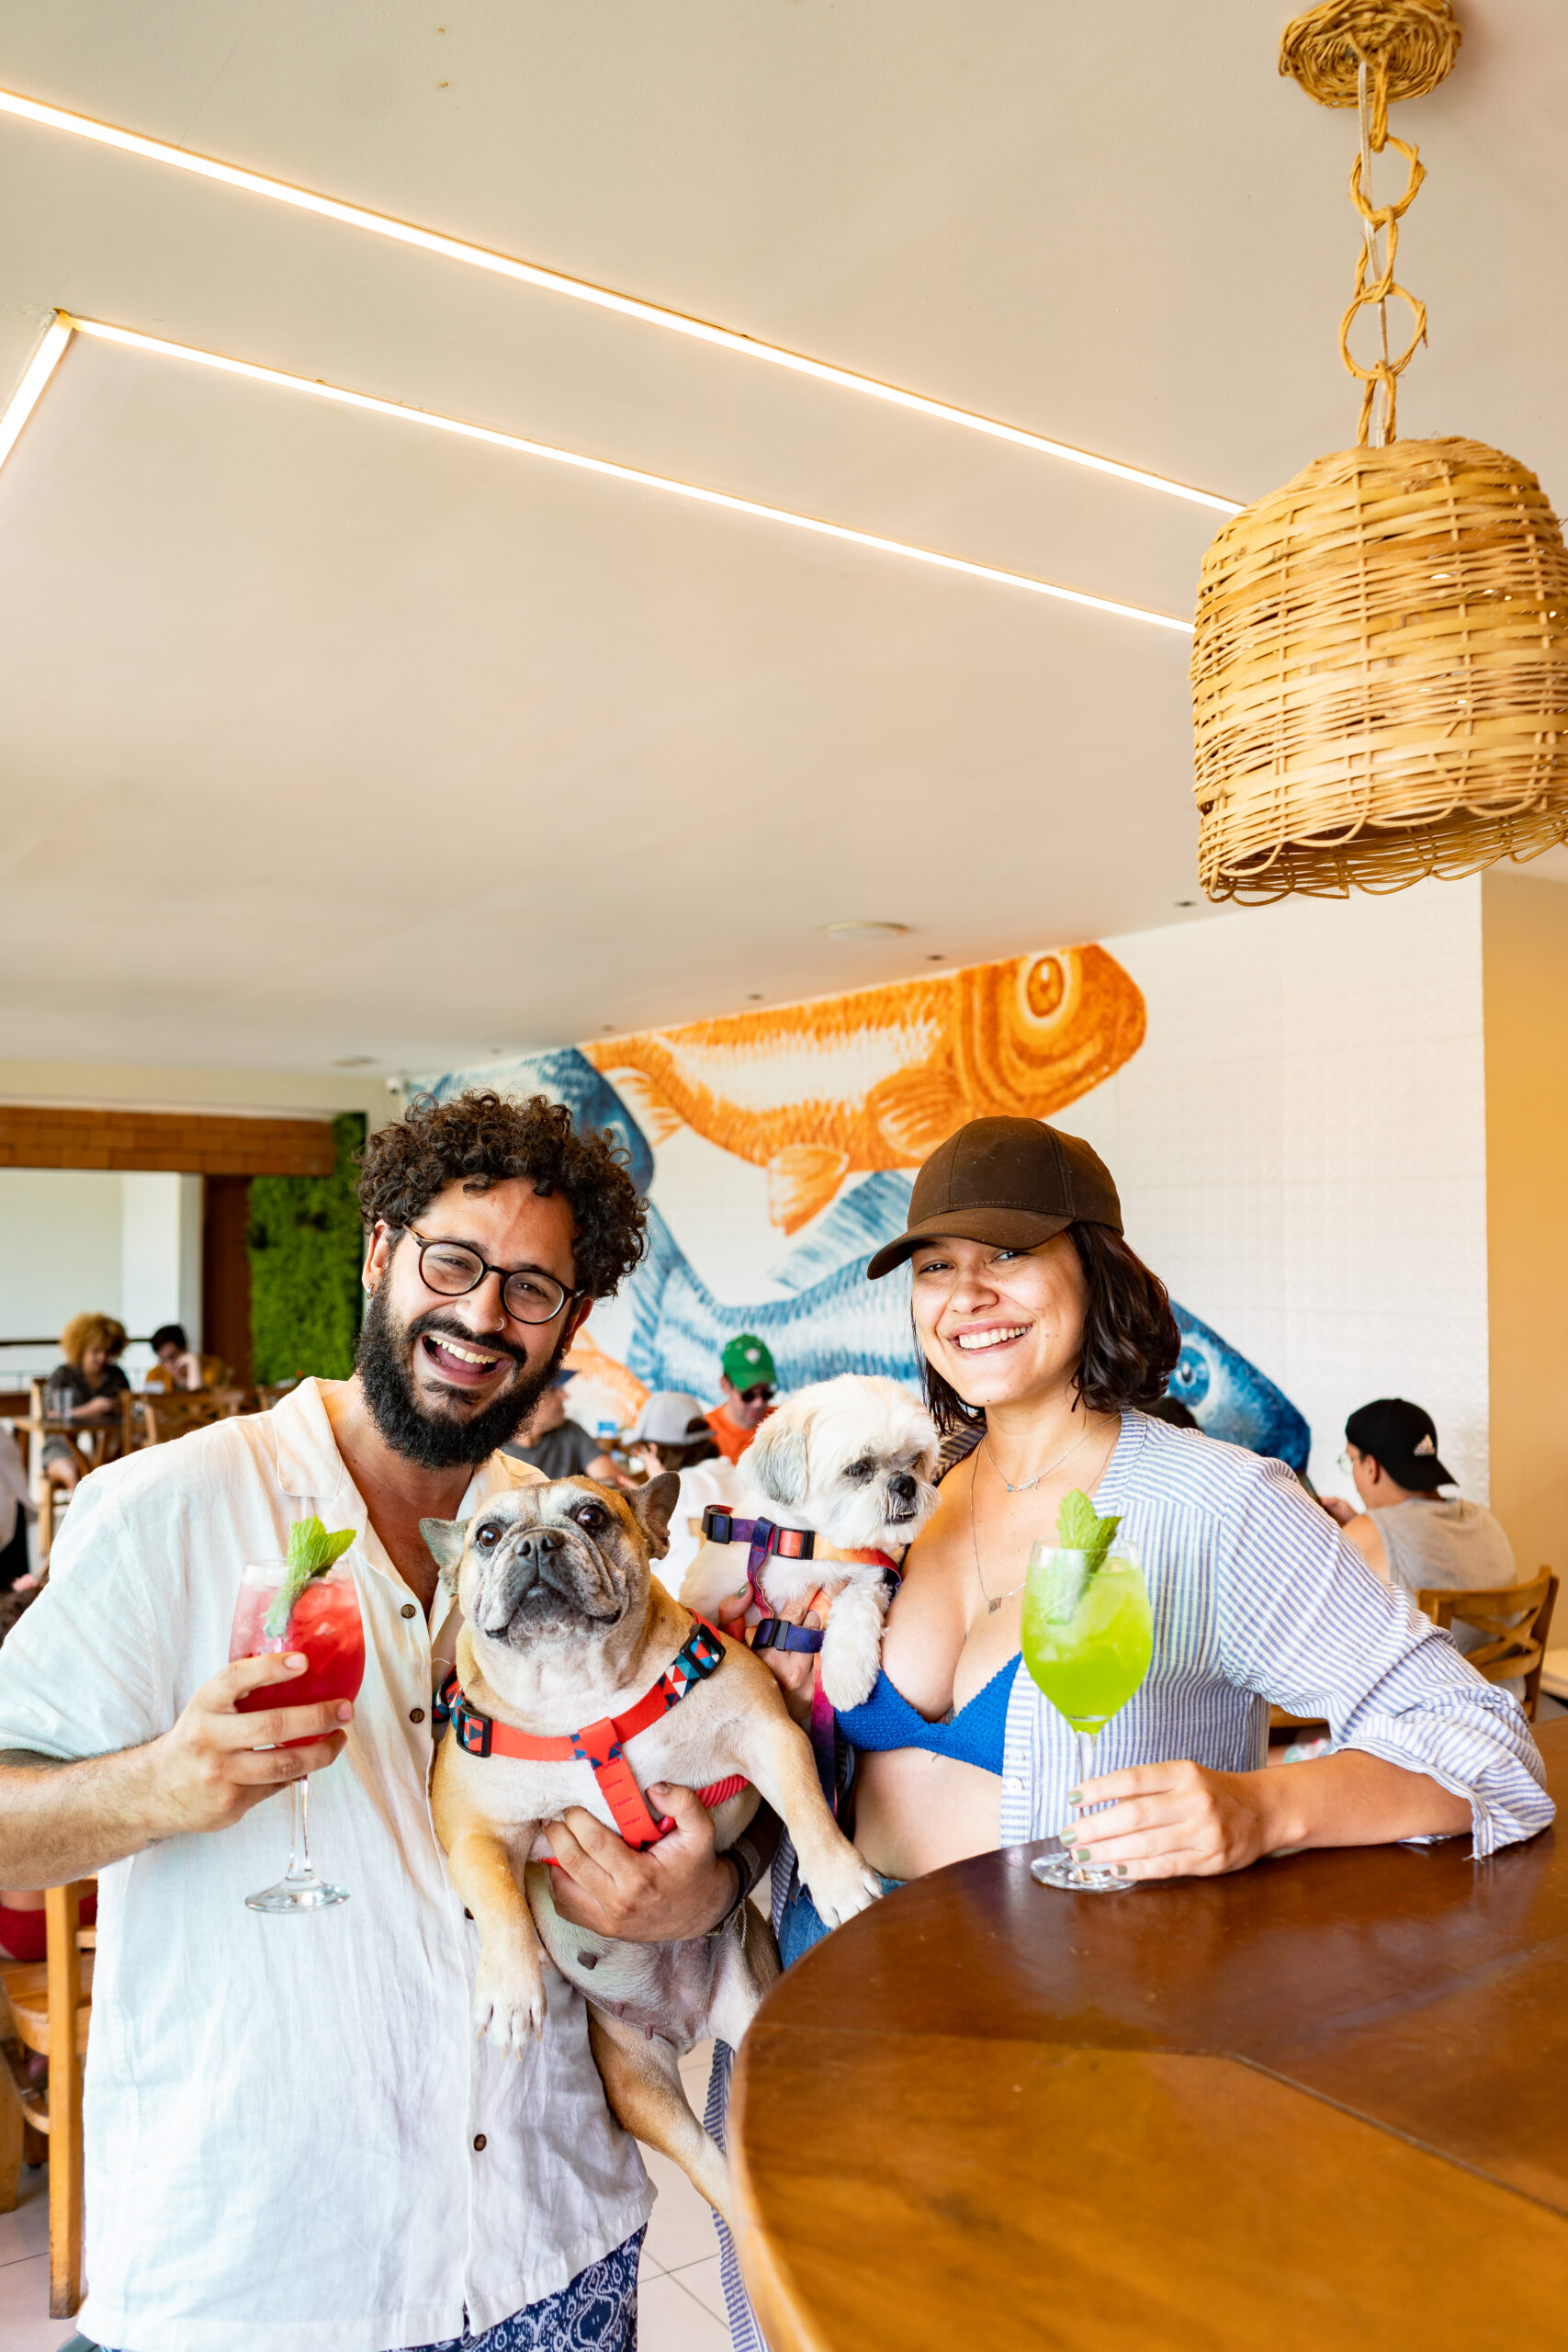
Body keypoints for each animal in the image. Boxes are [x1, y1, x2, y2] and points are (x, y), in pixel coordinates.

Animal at [423, 1472, 882, 2221]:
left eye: (591, 1516)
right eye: (487, 1535)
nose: (538, 1542)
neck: (581, 1699)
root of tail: (691, 2027)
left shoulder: (766, 1734)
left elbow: (807, 1806)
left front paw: (840, 1881)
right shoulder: (473, 1828)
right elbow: (498, 1902)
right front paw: (512, 1991)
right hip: (638, 2086)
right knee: (709, 2165)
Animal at [680, 1374, 940, 1710]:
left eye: (915, 1460)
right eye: (859, 1468)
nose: (905, 1483)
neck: (807, 1545)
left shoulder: (875, 1574)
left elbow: (858, 1604)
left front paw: (846, 1674)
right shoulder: (710, 1593)